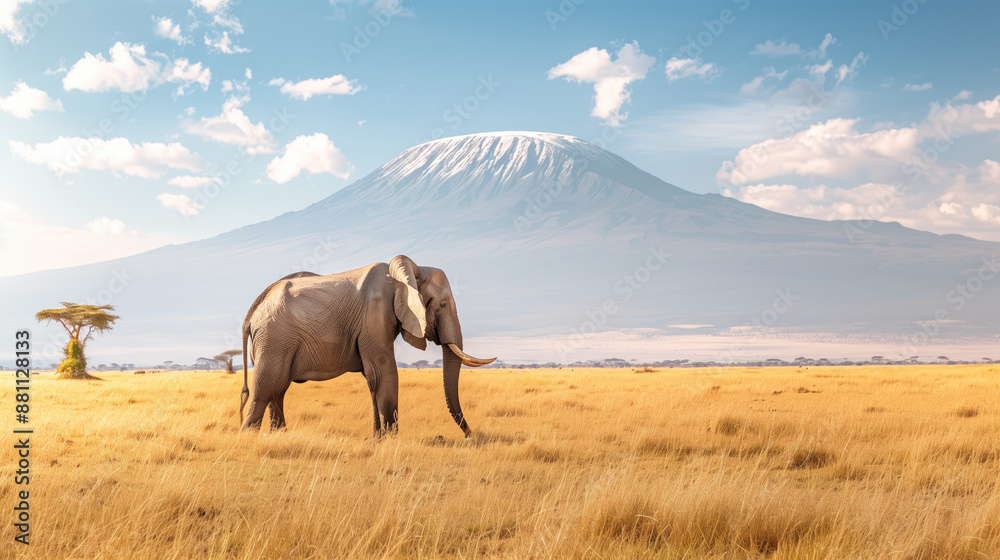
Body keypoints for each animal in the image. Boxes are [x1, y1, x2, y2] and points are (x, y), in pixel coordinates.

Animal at [239, 255, 496, 437]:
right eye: (441, 304)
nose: (469, 435)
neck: (408, 275)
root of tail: (253, 310)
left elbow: (373, 379)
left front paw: (378, 438)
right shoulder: (375, 316)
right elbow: (385, 372)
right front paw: (391, 440)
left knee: (278, 391)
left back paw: (279, 435)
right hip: (274, 339)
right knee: (266, 390)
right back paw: (249, 437)